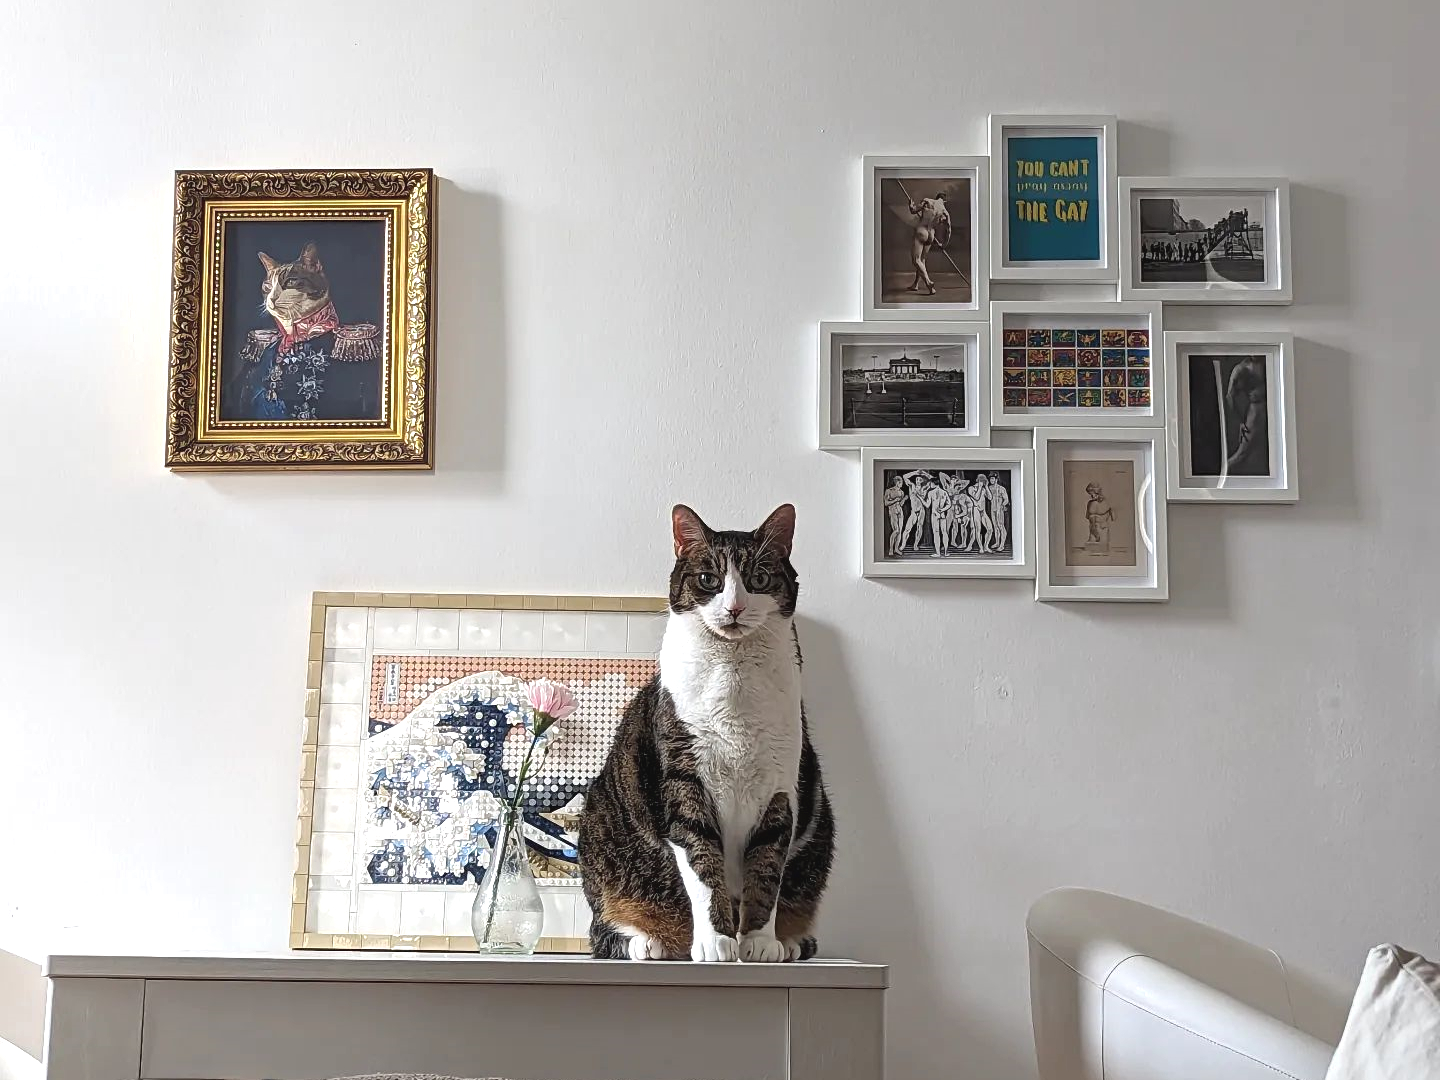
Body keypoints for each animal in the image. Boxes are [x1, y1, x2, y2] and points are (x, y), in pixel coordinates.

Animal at [578, 506, 840, 961]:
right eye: (708, 579)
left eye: (759, 579)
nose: (734, 607)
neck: (733, 672)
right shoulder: (685, 780)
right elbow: (702, 865)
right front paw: (717, 942)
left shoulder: (780, 786)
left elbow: (767, 870)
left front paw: (758, 943)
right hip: (599, 827)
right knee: (602, 928)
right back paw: (647, 942)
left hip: (820, 824)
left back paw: (789, 943)